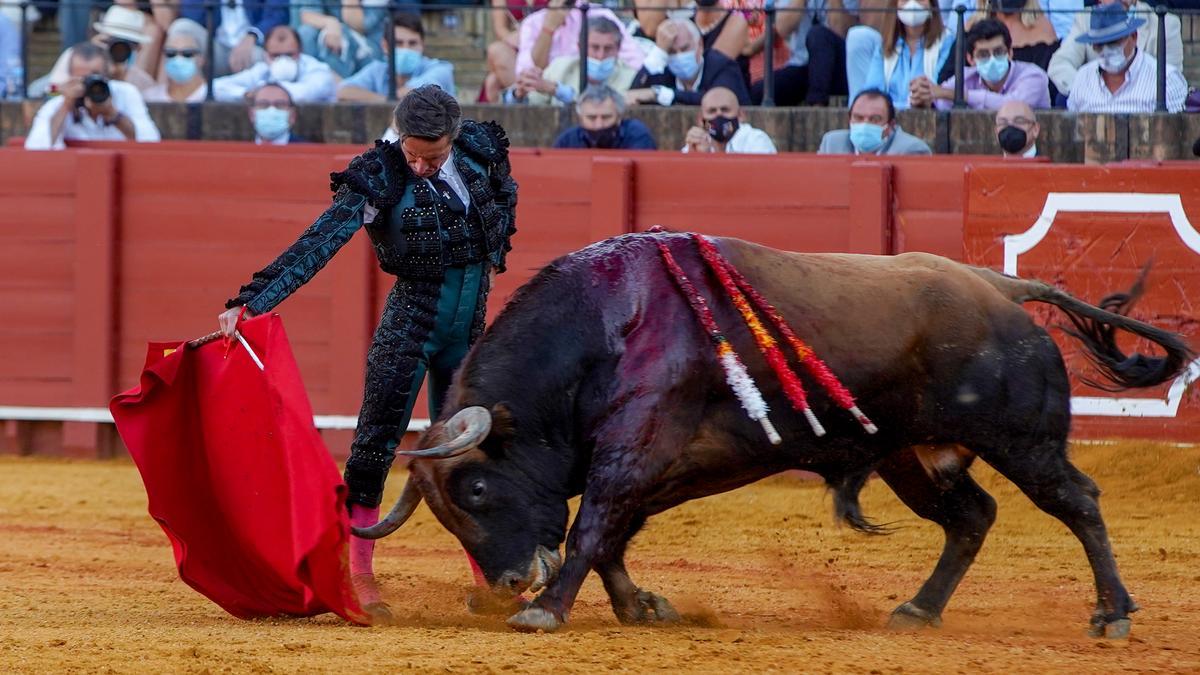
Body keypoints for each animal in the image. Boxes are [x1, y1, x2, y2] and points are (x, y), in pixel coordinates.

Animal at [350, 230, 1190, 634]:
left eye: (477, 487)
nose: (505, 583)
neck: (608, 326)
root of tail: (1000, 286)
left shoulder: (639, 449)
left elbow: (594, 524)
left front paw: (547, 609)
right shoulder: (668, 462)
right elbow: (613, 532)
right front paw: (641, 605)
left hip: (1023, 439)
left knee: (1077, 500)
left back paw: (1113, 611)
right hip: (911, 457)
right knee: (972, 516)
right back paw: (918, 610)